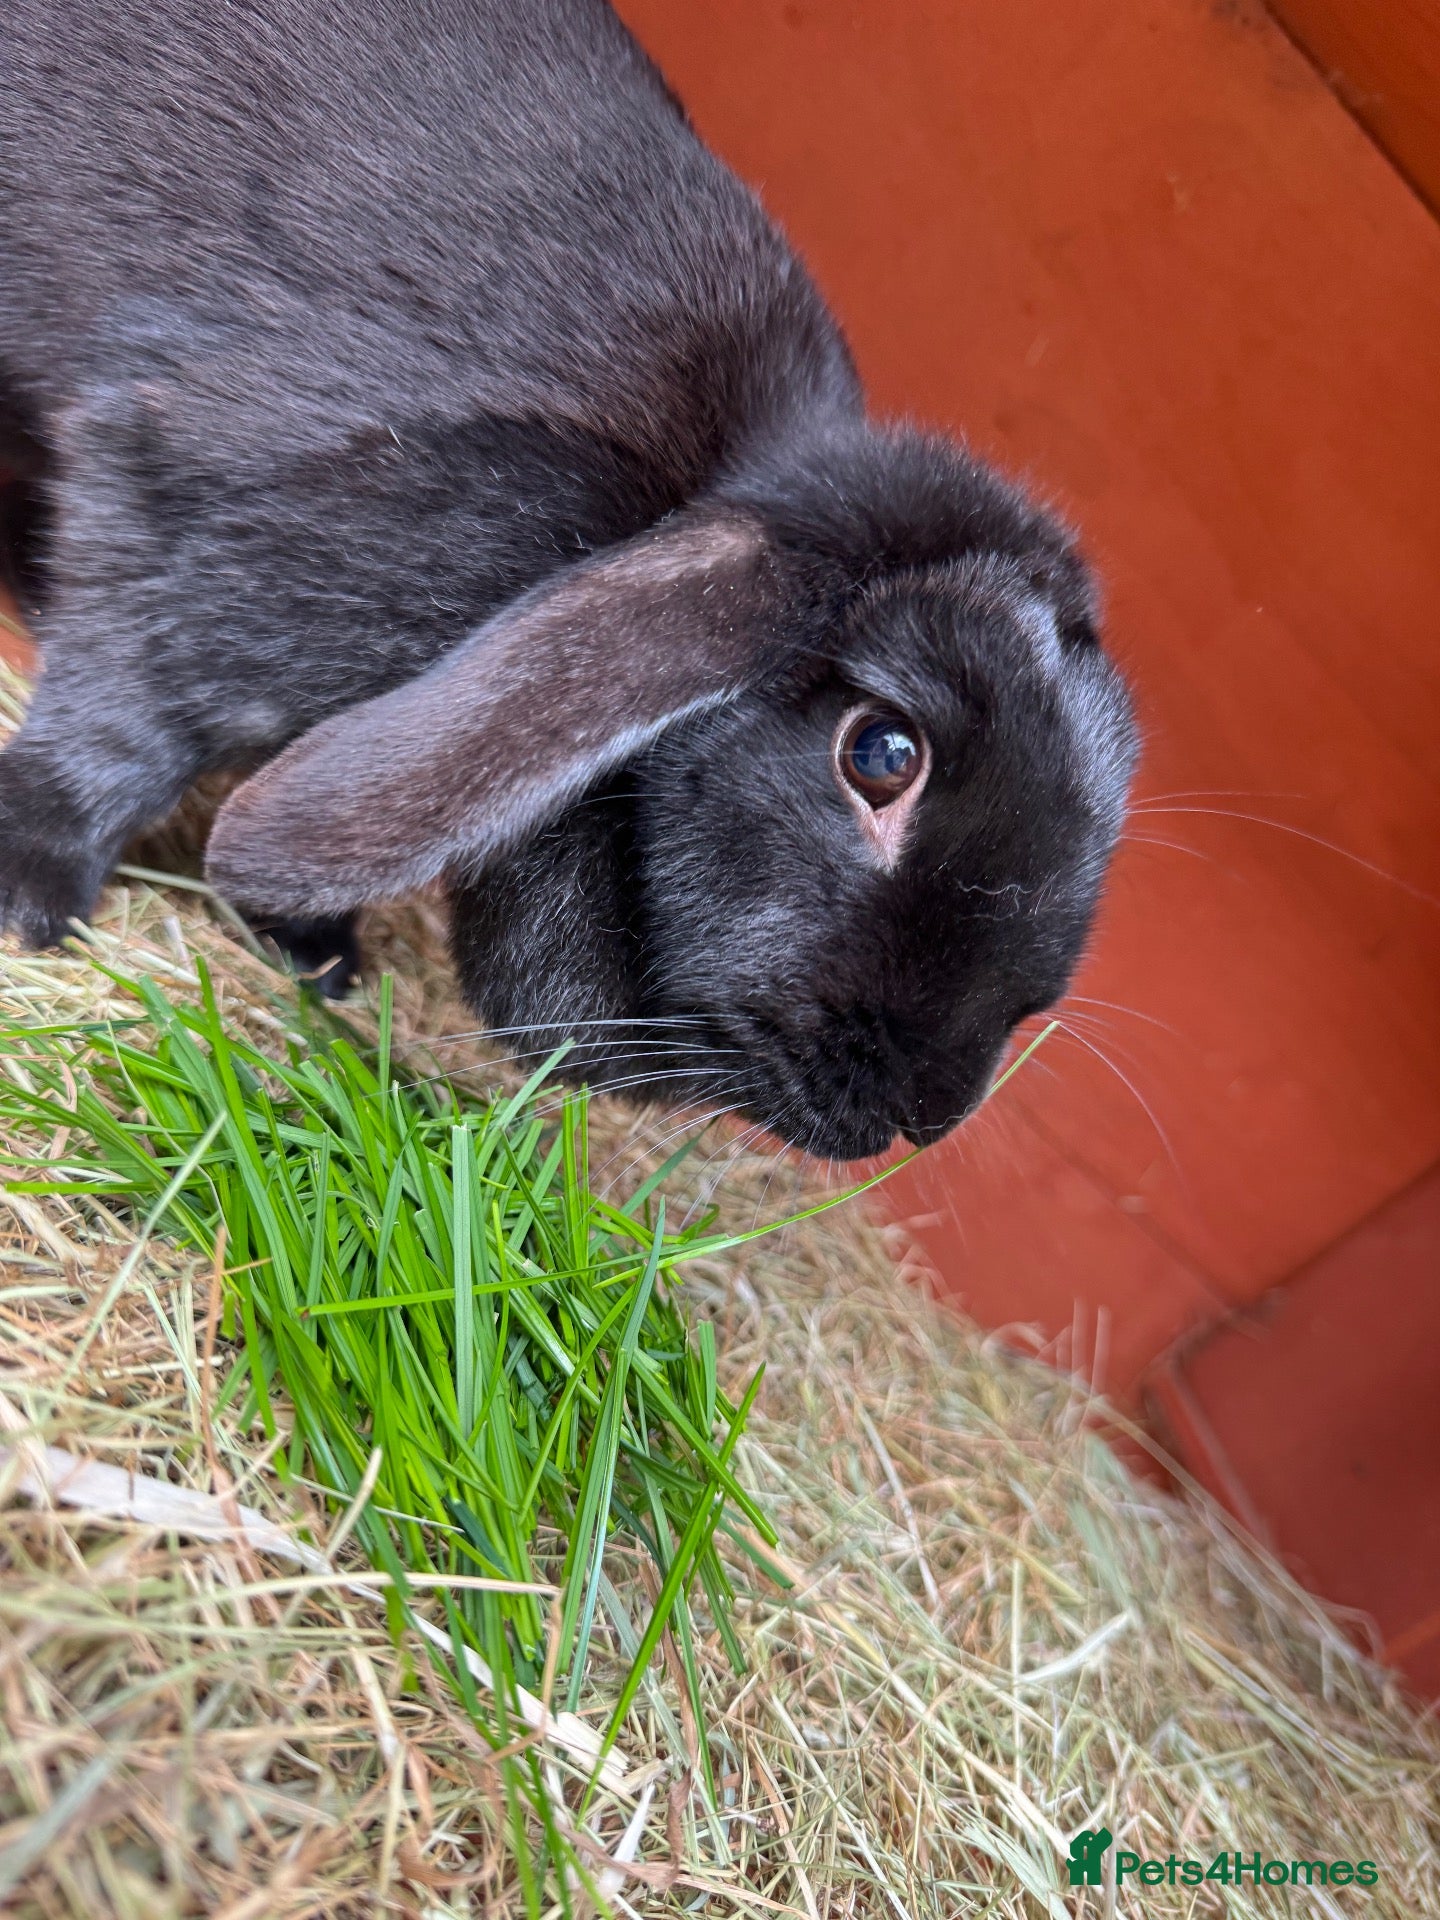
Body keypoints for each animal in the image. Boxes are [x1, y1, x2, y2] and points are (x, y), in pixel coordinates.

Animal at [0, 0, 1136, 1160]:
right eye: (881, 753)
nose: (927, 1110)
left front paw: (316, 958)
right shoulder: (196, 525)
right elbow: (117, 736)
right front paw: (29, 905)